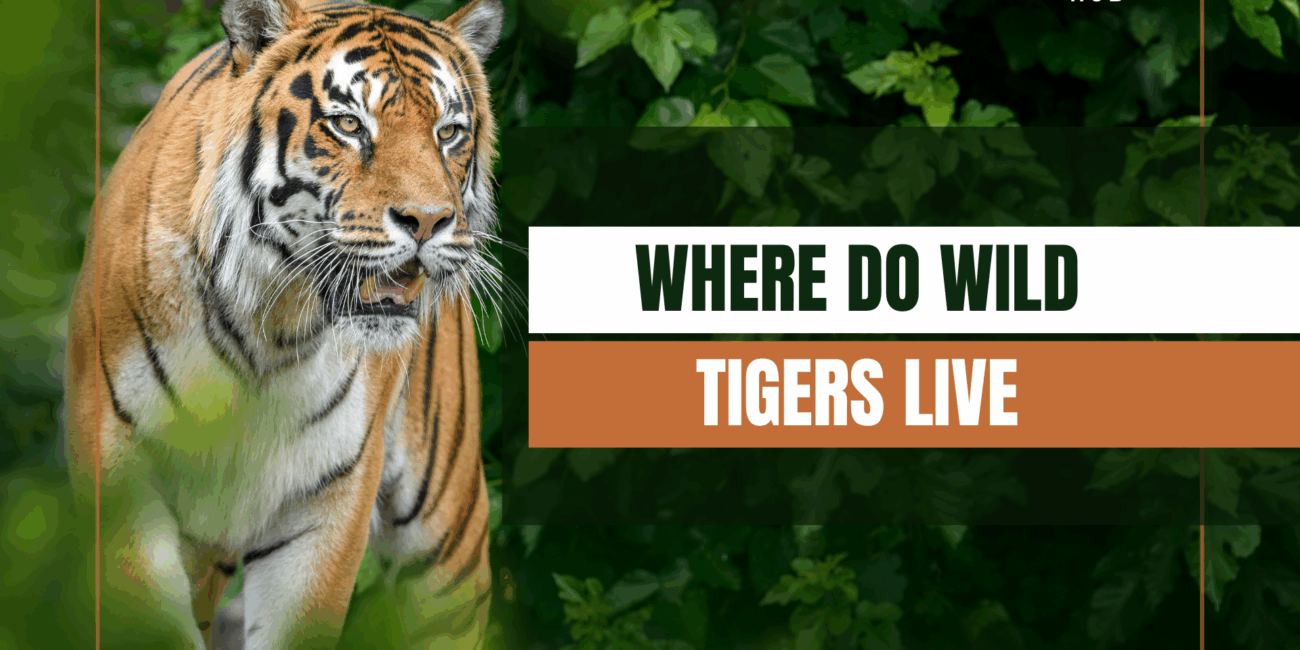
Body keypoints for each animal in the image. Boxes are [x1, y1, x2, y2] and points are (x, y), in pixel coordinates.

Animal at [64, 0, 504, 648]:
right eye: (348, 125)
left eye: (448, 132)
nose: (428, 220)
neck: (268, 329)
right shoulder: (121, 484)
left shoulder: (326, 506)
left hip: (448, 542)